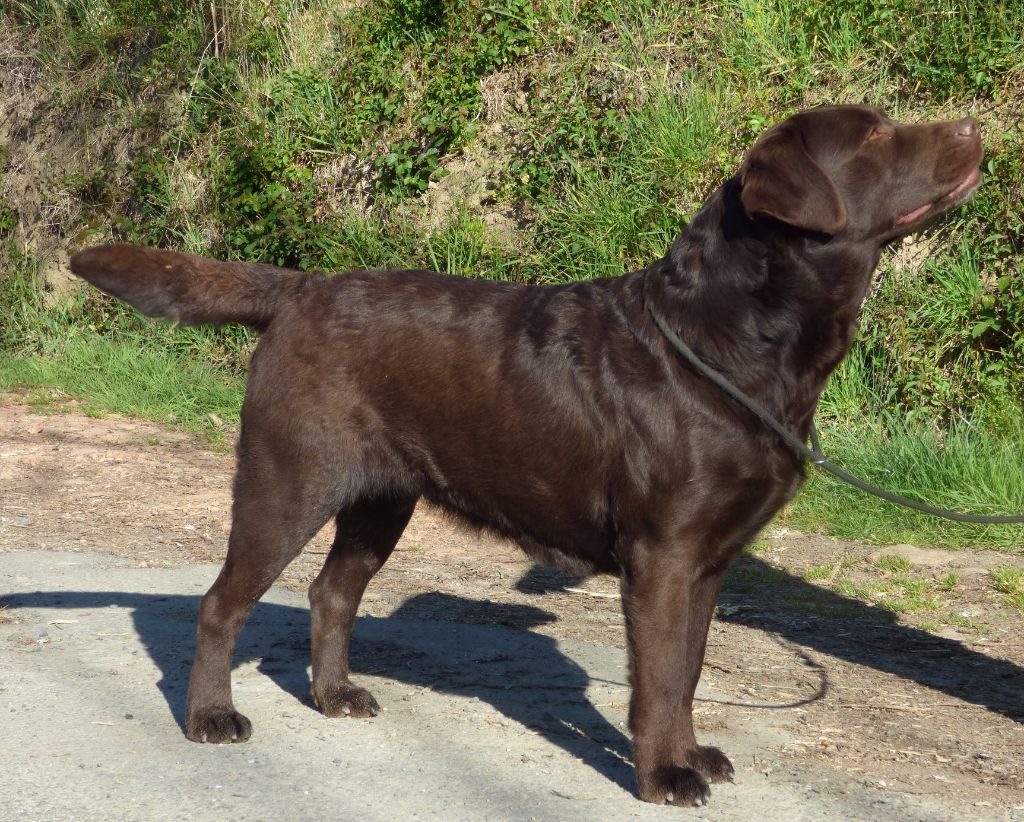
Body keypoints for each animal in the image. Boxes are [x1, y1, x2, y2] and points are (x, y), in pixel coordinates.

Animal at [70, 105, 982, 807]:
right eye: (874, 136)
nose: (975, 127)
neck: (734, 339)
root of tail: (300, 287)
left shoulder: (711, 561)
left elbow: (688, 669)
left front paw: (693, 755)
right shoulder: (664, 556)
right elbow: (657, 678)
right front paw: (662, 775)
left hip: (382, 497)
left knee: (333, 593)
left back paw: (334, 696)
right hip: (287, 478)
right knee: (222, 603)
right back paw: (209, 718)